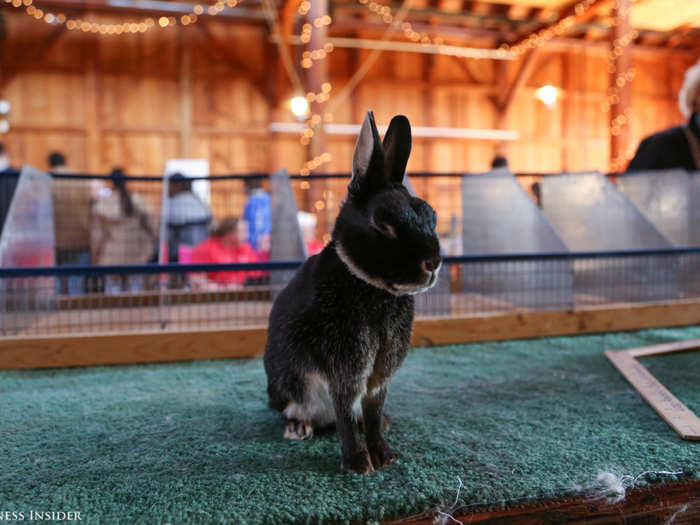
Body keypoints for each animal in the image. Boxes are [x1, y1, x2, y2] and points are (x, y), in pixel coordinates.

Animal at [266, 111, 440, 474]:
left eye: (431, 215)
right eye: (382, 223)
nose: (433, 262)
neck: (372, 288)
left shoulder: (378, 377)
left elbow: (371, 412)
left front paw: (384, 456)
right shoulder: (344, 370)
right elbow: (345, 412)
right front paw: (359, 465)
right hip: (286, 388)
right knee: (298, 410)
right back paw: (298, 428)